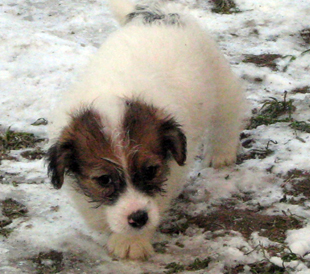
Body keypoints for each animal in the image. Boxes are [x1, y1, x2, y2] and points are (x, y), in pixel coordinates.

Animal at [46, 0, 246, 262]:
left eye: (151, 170)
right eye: (103, 179)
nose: (139, 218)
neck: (113, 93)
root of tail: (157, 13)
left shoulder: (172, 170)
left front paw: (131, 241)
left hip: (220, 84)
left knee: (227, 115)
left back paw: (221, 153)